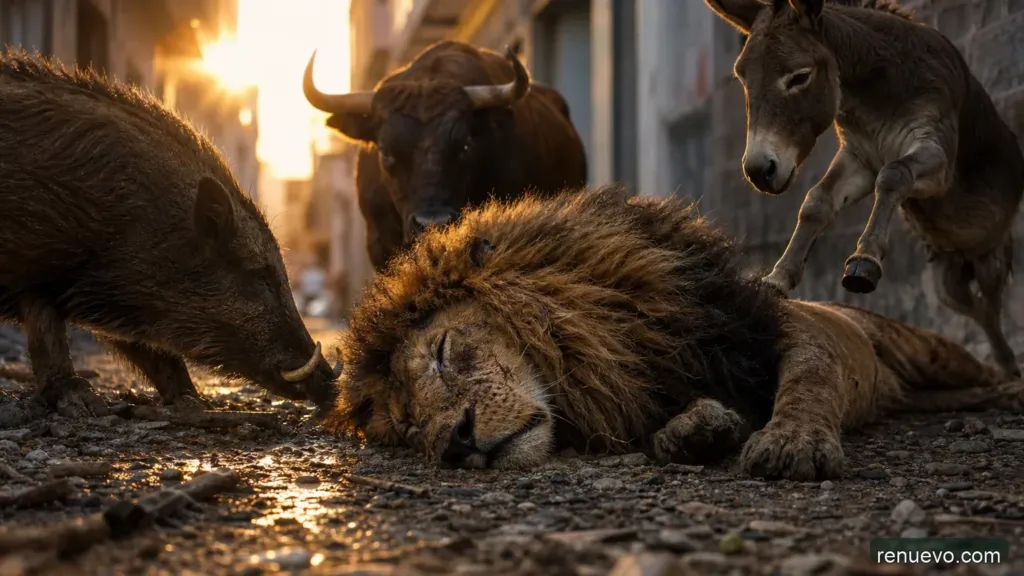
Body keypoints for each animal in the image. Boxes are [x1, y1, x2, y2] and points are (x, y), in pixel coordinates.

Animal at [328, 185, 1023, 481]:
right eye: (409, 429)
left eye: (444, 353)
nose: (455, 443)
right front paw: (695, 432)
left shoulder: (787, 332)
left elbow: (809, 381)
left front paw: (791, 443)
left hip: (930, 349)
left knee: (983, 369)